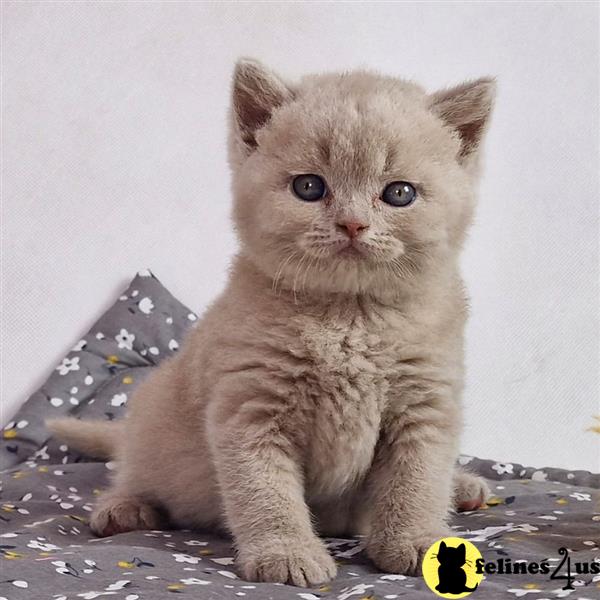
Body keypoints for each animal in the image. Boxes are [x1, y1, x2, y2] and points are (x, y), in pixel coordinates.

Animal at [49, 59, 494, 584]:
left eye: (399, 193)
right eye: (309, 187)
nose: (352, 224)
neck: (350, 318)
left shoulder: (425, 404)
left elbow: (418, 479)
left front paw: (417, 539)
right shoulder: (250, 406)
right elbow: (265, 490)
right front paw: (286, 553)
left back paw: (461, 486)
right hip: (153, 412)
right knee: (133, 466)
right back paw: (124, 508)